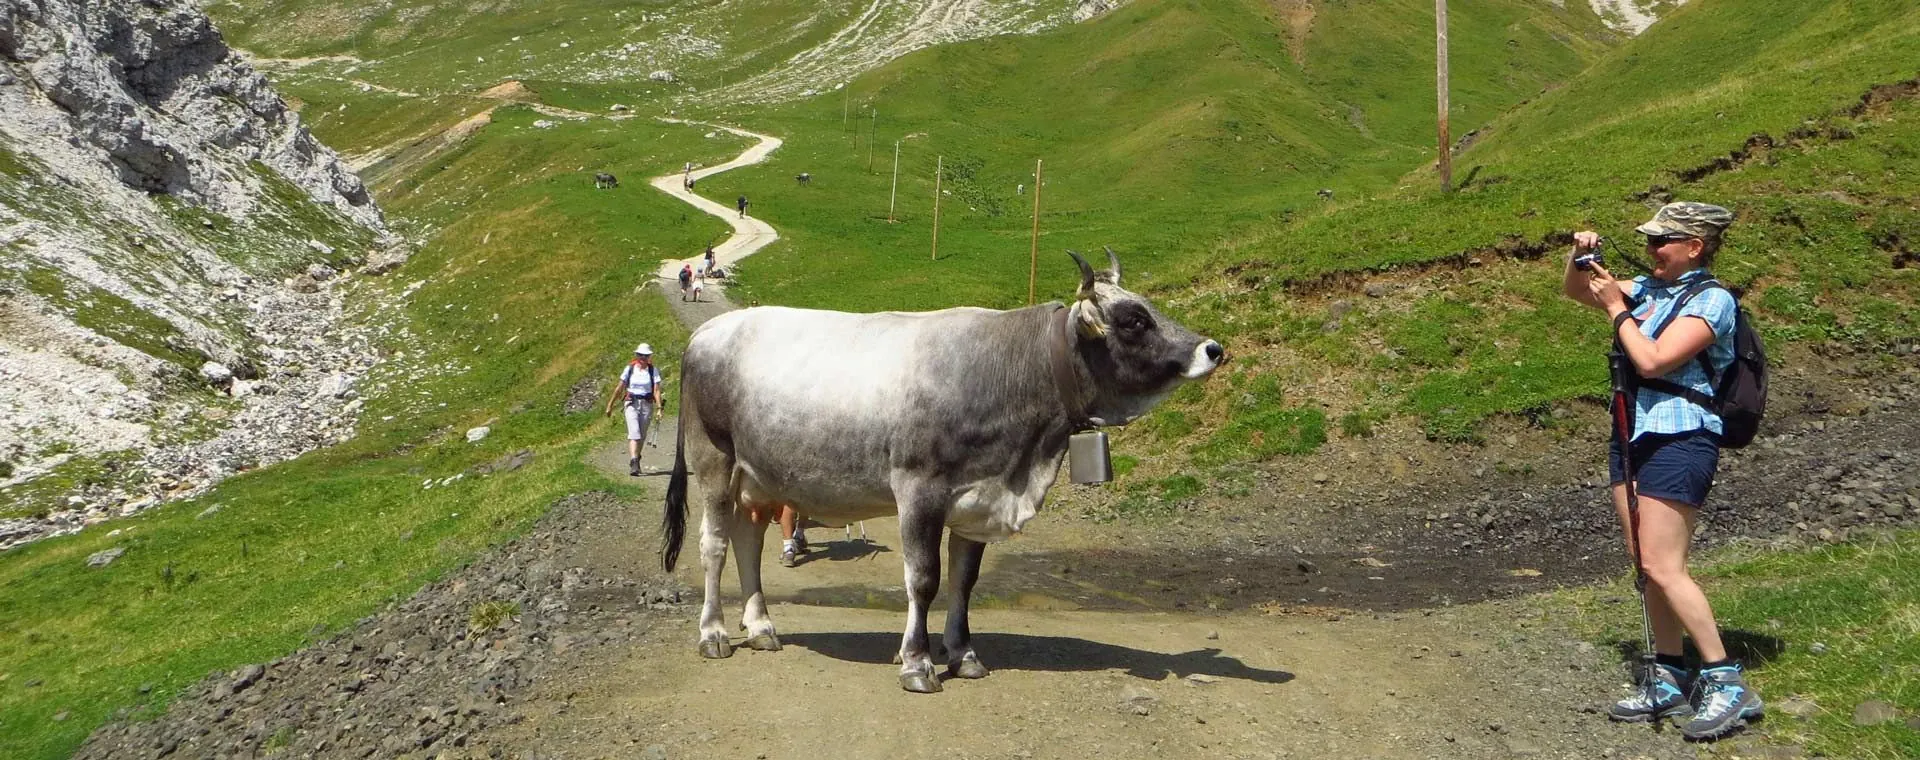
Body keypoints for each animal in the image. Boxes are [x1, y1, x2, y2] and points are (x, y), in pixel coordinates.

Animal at [662, 249, 1225, 693]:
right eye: (1133, 320)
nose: (1212, 348)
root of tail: (709, 332)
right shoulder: (919, 490)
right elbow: (924, 578)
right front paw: (917, 662)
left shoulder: (977, 498)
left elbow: (964, 580)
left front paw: (963, 654)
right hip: (714, 461)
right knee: (714, 544)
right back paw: (713, 633)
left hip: (759, 477)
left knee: (748, 541)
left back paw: (760, 627)